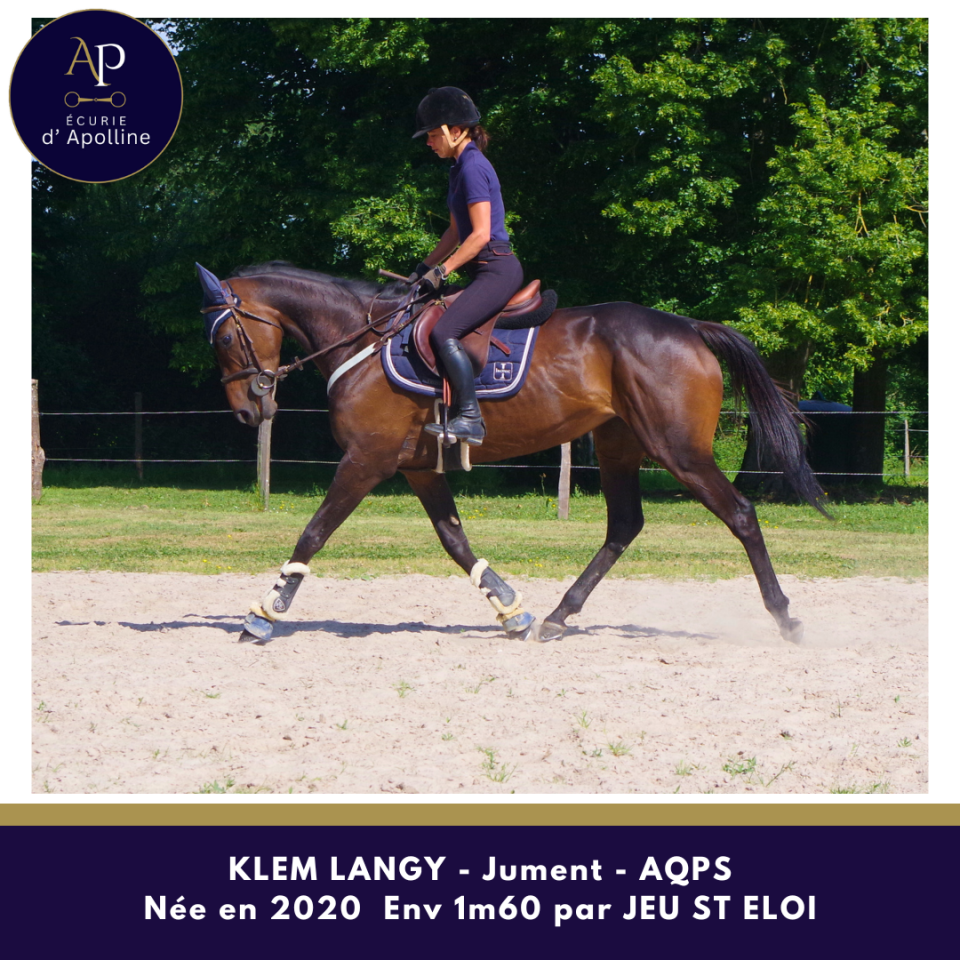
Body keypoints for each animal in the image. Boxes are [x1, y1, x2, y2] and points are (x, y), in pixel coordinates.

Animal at [197, 260, 826, 646]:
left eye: (225, 338)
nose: (249, 411)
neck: (363, 340)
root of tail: (690, 327)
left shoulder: (366, 461)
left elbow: (313, 533)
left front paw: (264, 613)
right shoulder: (418, 468)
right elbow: (455, 542)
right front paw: (509, 609)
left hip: (680, 450)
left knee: (740, 514)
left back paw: (785, 617)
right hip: (619, 444)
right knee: (625, 525)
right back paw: (556, 616)